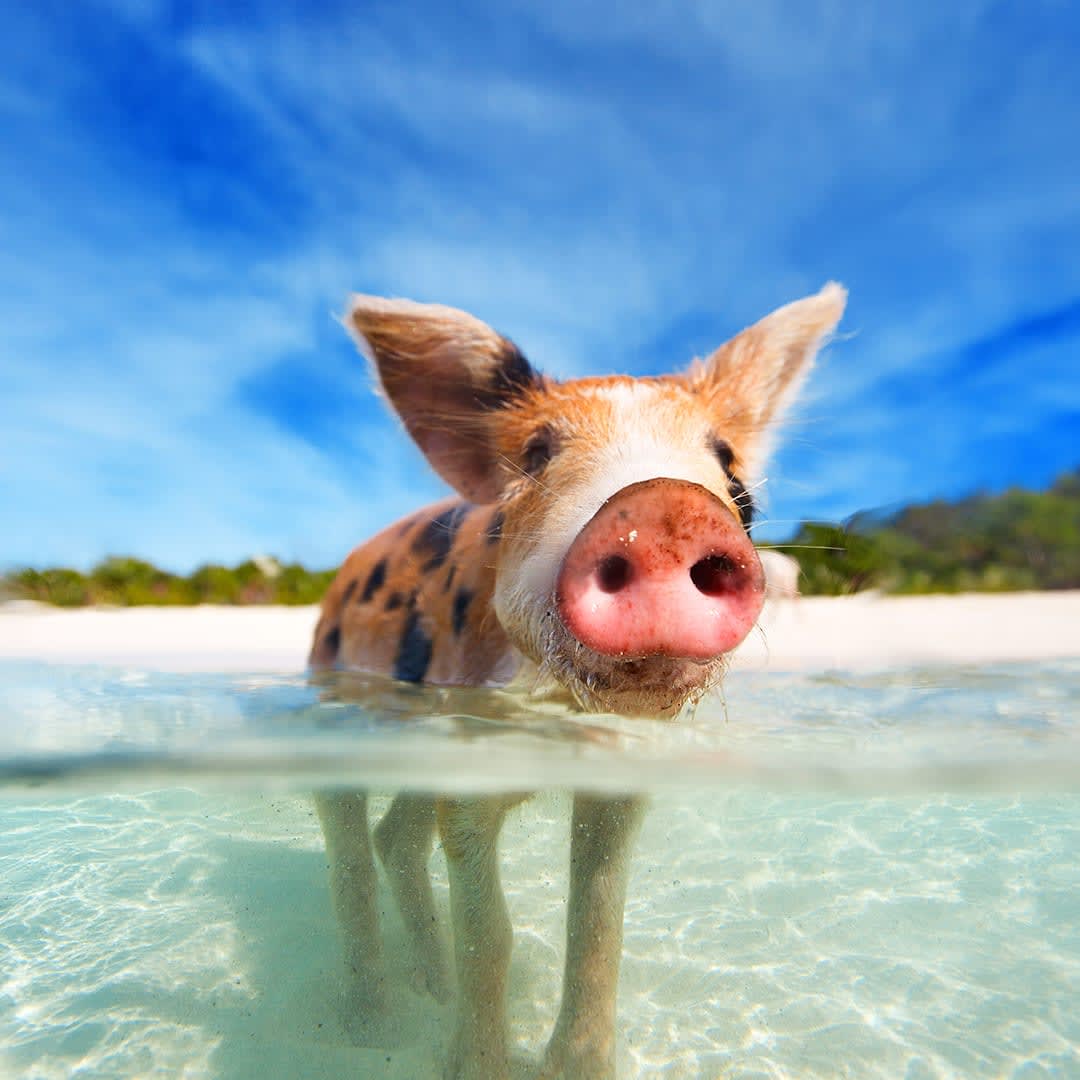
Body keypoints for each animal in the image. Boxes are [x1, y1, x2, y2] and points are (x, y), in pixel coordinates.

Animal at [309, 283, 846, 1079]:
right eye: (537, 453)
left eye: (731, 469)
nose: (665, 507)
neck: (563, 711)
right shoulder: (469, 761)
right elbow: (491, 936)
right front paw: (477, 1066)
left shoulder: (619, 774)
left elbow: (596, 925)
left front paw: (575, 1066)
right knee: (349, 846)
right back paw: (372, 1027)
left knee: (395, 838)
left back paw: (428, 987)